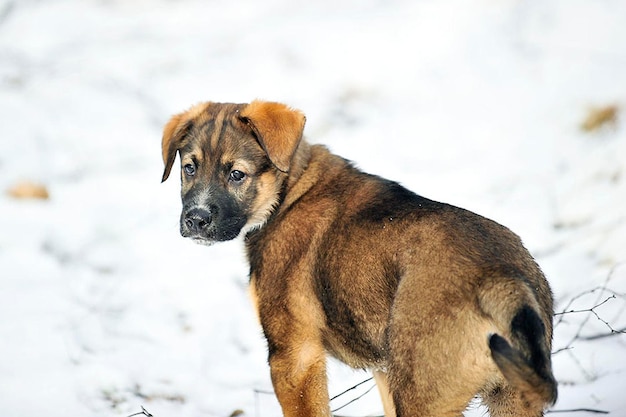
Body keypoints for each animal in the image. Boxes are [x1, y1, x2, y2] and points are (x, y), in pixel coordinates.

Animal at [161, 100, 556, 416]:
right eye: (189, 168)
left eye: (236, 174)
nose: (195, 220)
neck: (290, 191)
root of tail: (500, 277)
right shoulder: (382, 369)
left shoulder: (294, 356)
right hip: (511, 398)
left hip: (423, 394)